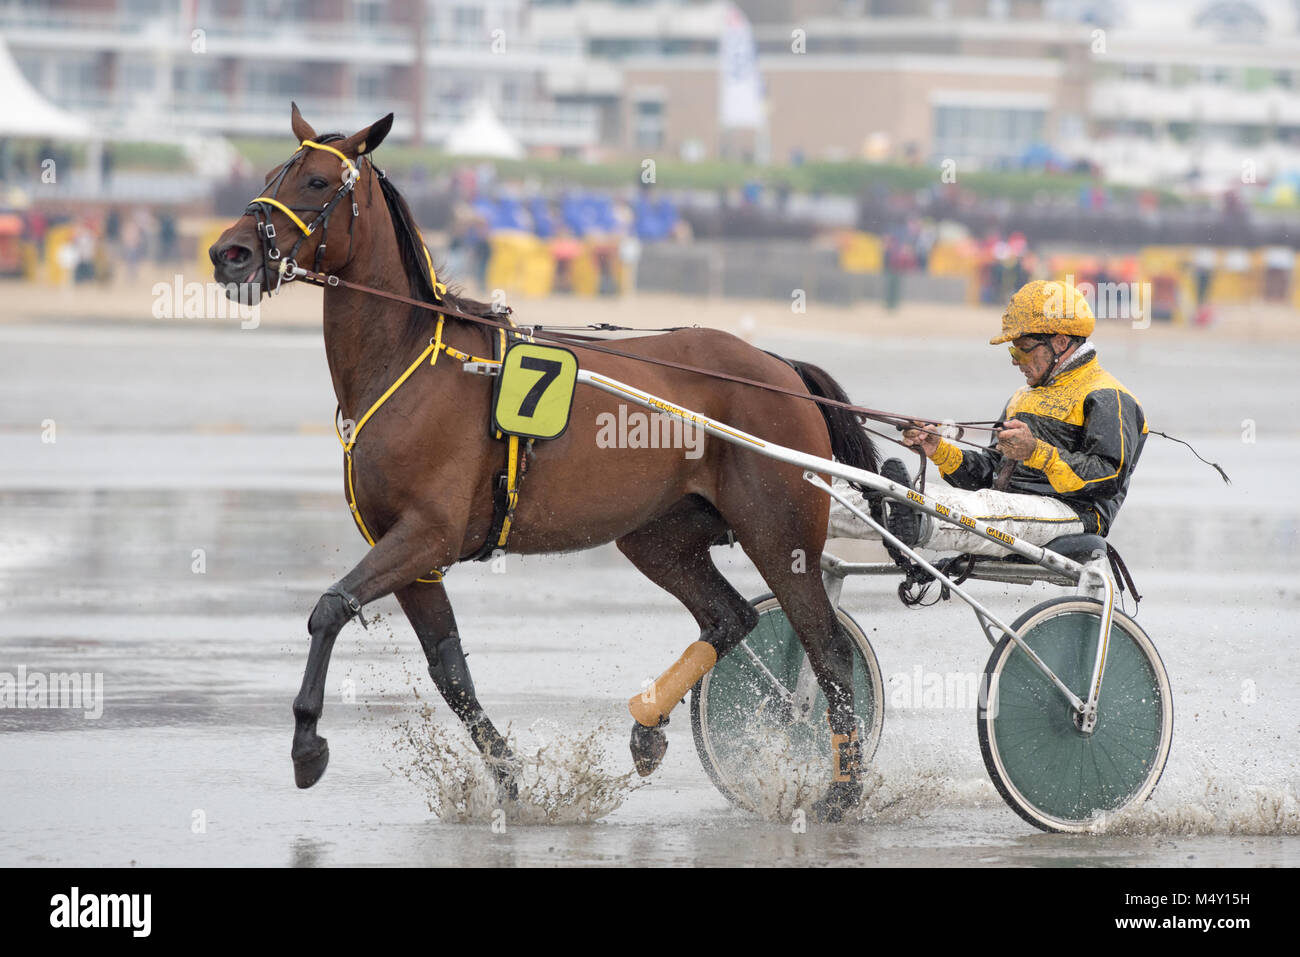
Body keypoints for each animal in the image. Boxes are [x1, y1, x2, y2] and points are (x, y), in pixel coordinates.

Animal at [210, 106, 883, 821]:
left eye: (314, 180)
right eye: (268, 173)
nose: (230, 253)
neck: (411, 360)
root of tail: (780, 368)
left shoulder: (426, 534)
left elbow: (330, 609)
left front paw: (307, 744)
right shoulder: (413, 554)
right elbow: (450, 671)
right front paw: (509, 780)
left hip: (777, 533)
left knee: (828, 652)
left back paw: (841, 791)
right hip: (658, 536)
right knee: (731, 617)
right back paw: (648, 725)